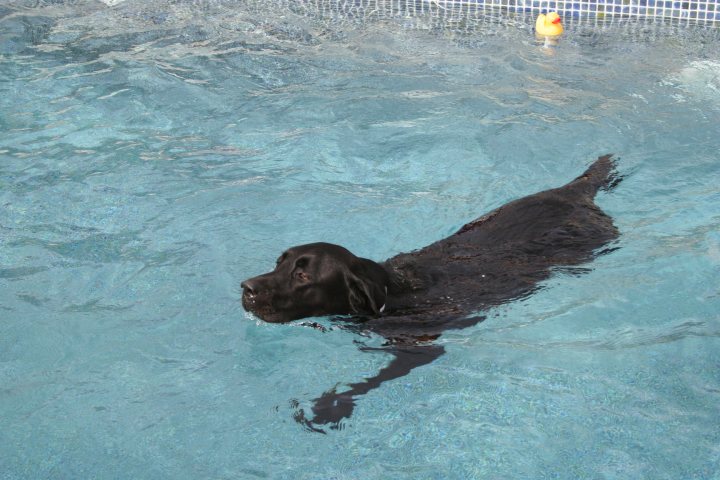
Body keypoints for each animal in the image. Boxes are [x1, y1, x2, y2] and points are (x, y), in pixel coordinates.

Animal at [242, 155, 620, 432]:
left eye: (303, 275)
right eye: (278, 263)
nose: (245, 289)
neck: (392, 294)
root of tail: (572, 191)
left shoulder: (421, 347)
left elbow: (371, 381)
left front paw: (329, 405)